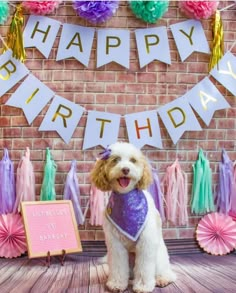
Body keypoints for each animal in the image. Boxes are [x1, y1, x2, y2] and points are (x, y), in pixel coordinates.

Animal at [90, 142, 177, 292]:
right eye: (115, 160)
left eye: (133, 160)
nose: (125, 169)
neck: (126, 198)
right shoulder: (115, 244)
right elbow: (118, 266)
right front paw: (117, 283)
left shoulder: (146, 242)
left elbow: (144, 268)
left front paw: (143, 286)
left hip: (159, 256)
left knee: (166, 272)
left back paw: (162, 279)